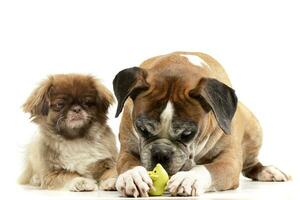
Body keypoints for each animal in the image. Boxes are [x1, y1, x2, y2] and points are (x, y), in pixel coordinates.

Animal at [112, 51, 288, 197]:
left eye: (187, 134)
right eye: (142, 129)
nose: (161, 153)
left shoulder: (229, 161)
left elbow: (208, 168)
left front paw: (189, 178)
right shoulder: (127, 150)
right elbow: (128, 163)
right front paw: (132, 176)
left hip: (255, 129)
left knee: (251, 164)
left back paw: (267, 171)